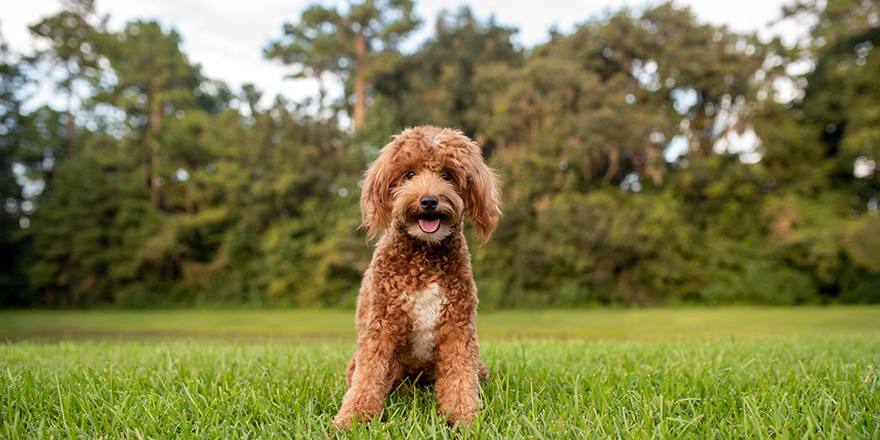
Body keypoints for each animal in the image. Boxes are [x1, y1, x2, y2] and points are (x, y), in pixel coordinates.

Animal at [334, 125, 502, 428]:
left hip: (479, 365)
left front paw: (462, 417)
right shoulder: (382, 325)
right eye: (409, 174)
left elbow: (459, 375)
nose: (428, 200)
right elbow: (369, 376)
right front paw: (354, 418)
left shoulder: (457, 326)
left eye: (448, 175)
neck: (424, 255)